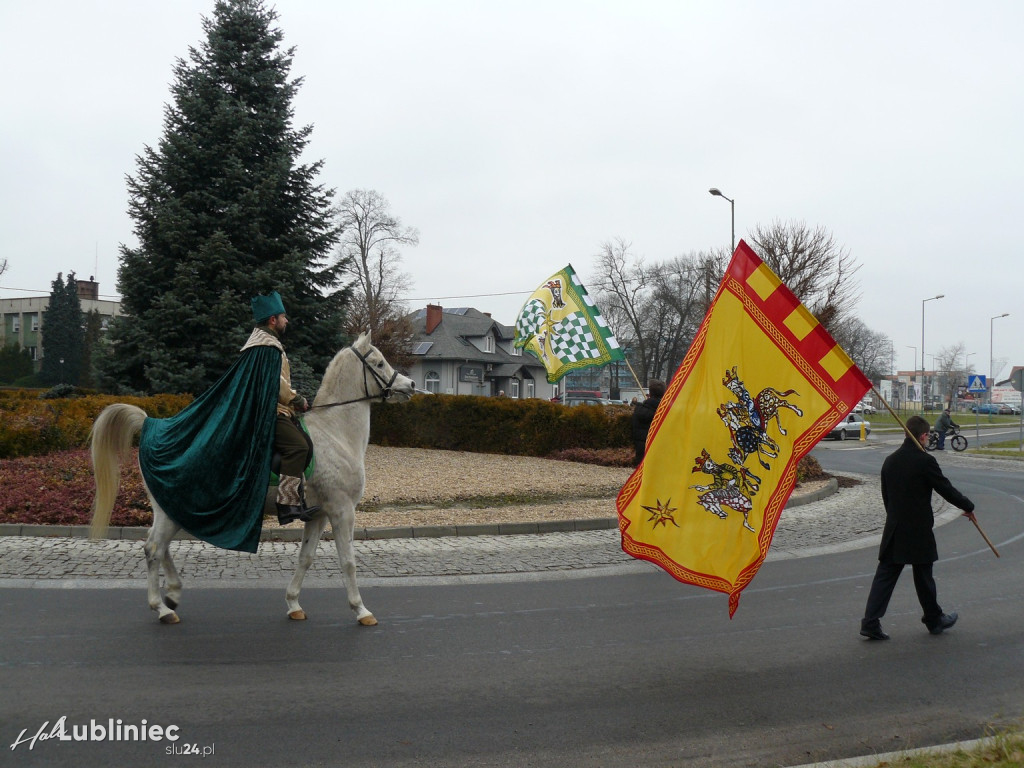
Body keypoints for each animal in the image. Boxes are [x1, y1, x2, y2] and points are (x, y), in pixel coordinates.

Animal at [88, 331, 413, 626]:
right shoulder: (342, 510)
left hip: (173, 509)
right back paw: (162, 608)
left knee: (160, 547)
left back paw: (173, 595)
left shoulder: (318, 515)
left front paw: (293, 603)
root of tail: (151, 428)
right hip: (172, 511)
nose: (410, 385)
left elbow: (305, 558)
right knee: (154, 549)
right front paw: (361, 610)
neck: (335, 432)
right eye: (380, 363)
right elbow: (348, 561)